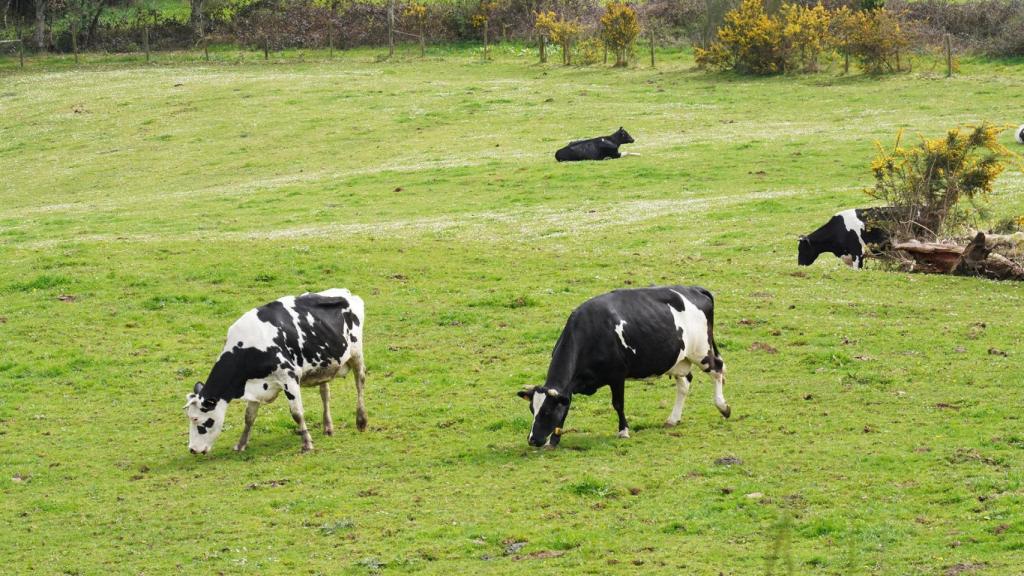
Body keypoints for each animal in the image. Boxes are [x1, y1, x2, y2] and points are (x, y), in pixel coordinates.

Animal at [183, 289, 366, 454]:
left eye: (196, 418)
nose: (192, 449)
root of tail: (346, 293)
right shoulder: (255, 386)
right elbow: (249, 417)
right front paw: (241, 444)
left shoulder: (289, 378)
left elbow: (297, 413)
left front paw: (307, 443)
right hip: (324, 366)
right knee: (325, 394)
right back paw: (328, 427)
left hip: (356, 353)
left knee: (360, 383)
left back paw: (361, 421)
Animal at [517, 286, 730, 448]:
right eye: (532, 409)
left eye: (547, 411)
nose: (532, 440)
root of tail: (694, 289)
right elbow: (566, 406)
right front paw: (553, 440)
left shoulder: (617, 375)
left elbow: (618, 404)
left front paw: (623, 431)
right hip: (679, 359)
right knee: (685, 383)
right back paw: (672, 419)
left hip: (701, 350)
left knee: (717, 369)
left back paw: (723, 407)